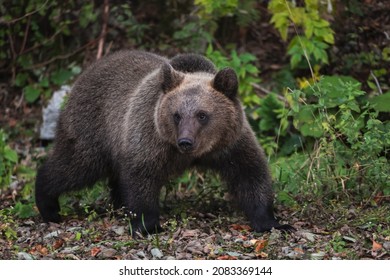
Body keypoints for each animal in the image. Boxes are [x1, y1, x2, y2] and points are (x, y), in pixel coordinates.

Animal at [35, 50, 294, 234]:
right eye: (176, 115)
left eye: (202, 115)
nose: (185, 141)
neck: (197, 153)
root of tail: (89, 70)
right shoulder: (151, 137)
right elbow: (142, 177)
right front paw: (147, 225)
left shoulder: (230, 143)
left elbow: (250, 173)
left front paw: (272, 222)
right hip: (94, 128)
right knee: (75, 166)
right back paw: (48, 206)